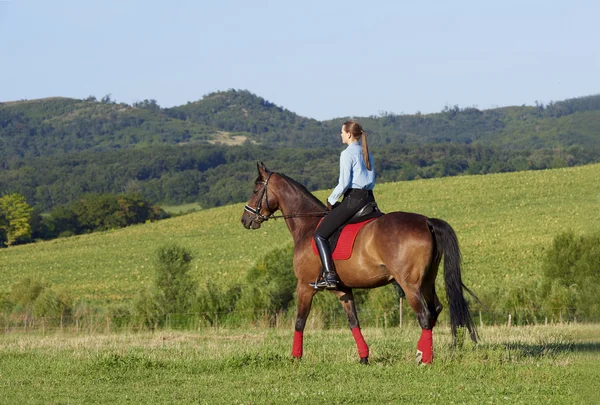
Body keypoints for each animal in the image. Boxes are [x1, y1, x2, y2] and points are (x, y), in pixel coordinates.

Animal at [240, 163, 478, 364]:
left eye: (255, 190)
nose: (245, 220)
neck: (307, 226)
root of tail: (426, 221)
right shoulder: (343, 289)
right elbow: (353, 321)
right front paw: (364, 357)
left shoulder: (304, 286)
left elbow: (300, 321)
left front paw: (296, 358)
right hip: (427, 280)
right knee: (435, 309)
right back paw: (422, 353)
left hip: (410, 285)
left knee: (425, 316)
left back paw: (424, 359)